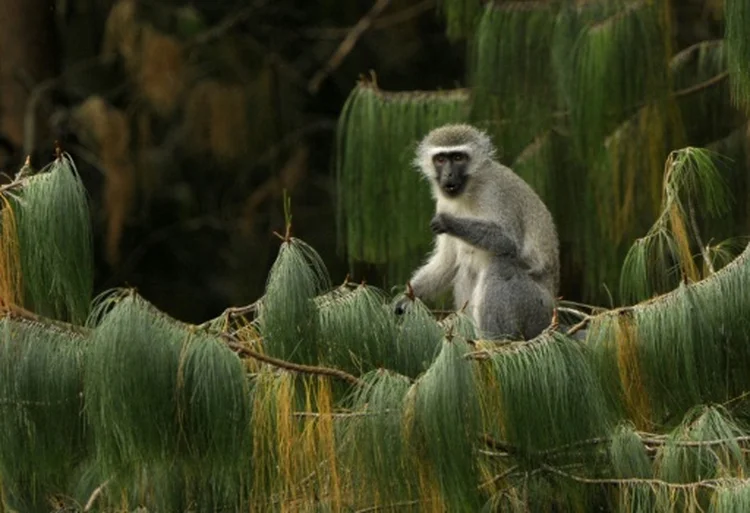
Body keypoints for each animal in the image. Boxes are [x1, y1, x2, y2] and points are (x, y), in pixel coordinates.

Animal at [396, 123, 560, 340]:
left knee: (500, 264)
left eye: (458, 158)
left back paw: (492, 342)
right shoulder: (443, 202)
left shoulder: (495, 192)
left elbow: (508, 241)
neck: (469, 190)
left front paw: (449, 222)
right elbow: (447, 262)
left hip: (535, 308)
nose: (449, 175)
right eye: (440, 159)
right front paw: (406, 298)